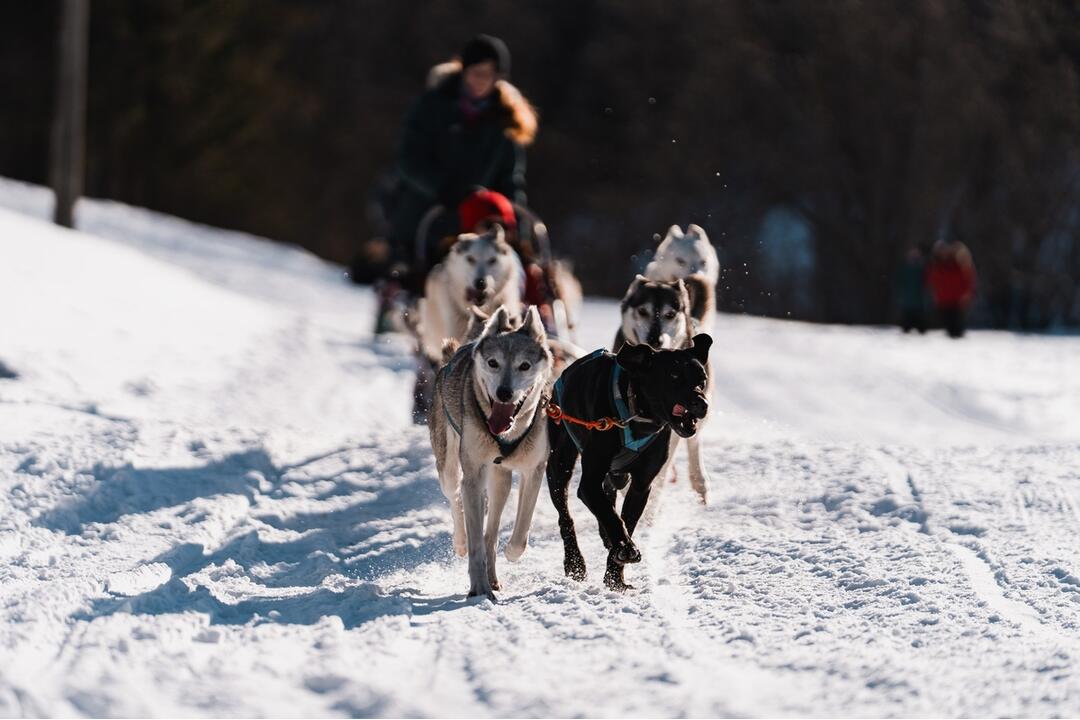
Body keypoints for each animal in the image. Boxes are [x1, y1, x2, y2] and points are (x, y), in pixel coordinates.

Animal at [427, 306, 552, 600]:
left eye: (524, 365)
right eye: (493, 363)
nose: (504, 393)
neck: (506, 434)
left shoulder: (534, 470)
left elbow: (520, 534)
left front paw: (510, 553)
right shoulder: (472, 475)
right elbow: (475, 544)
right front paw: (479, 589)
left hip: (500, 481)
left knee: (491, 530)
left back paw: (493, 572)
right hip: (450, 470)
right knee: (457, 500)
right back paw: (461, 543)